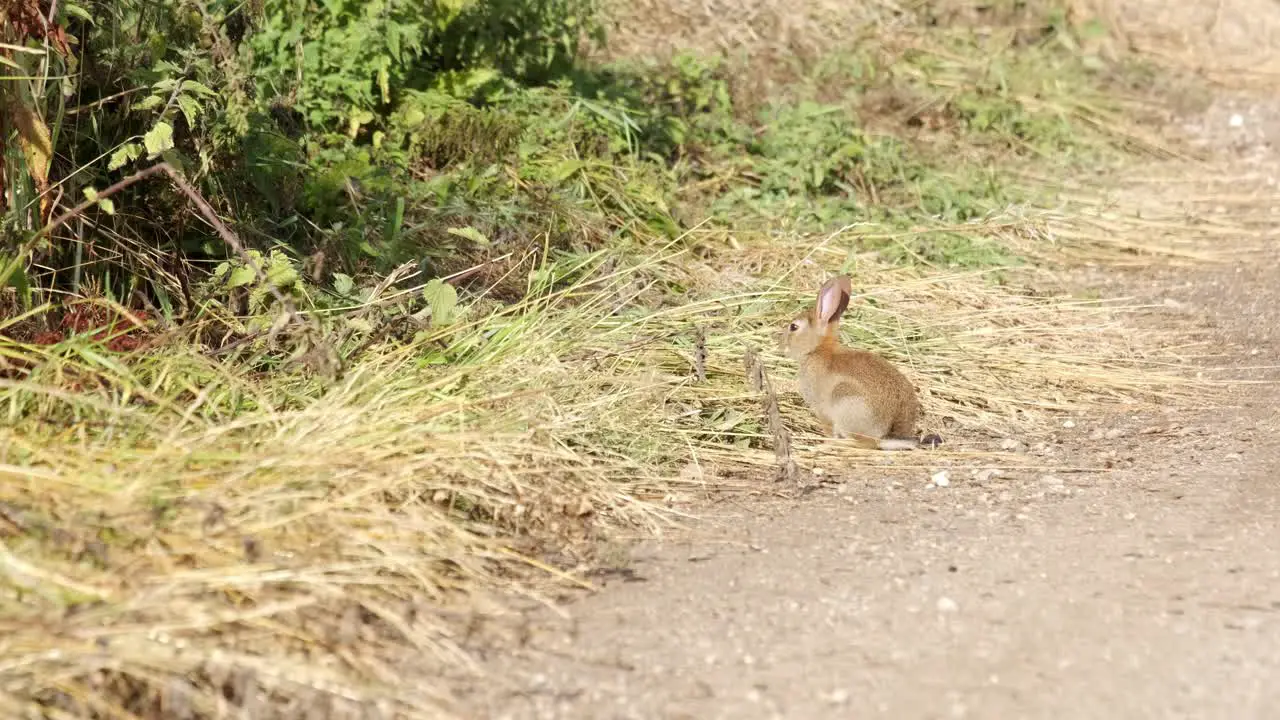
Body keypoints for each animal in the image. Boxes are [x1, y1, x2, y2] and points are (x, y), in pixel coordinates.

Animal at [778, 274, 942, 448]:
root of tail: (885, 436)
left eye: (793, 327)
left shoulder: (822, 410)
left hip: (845, 401)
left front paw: (825, 440)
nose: (780, 344)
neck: (818, 349)